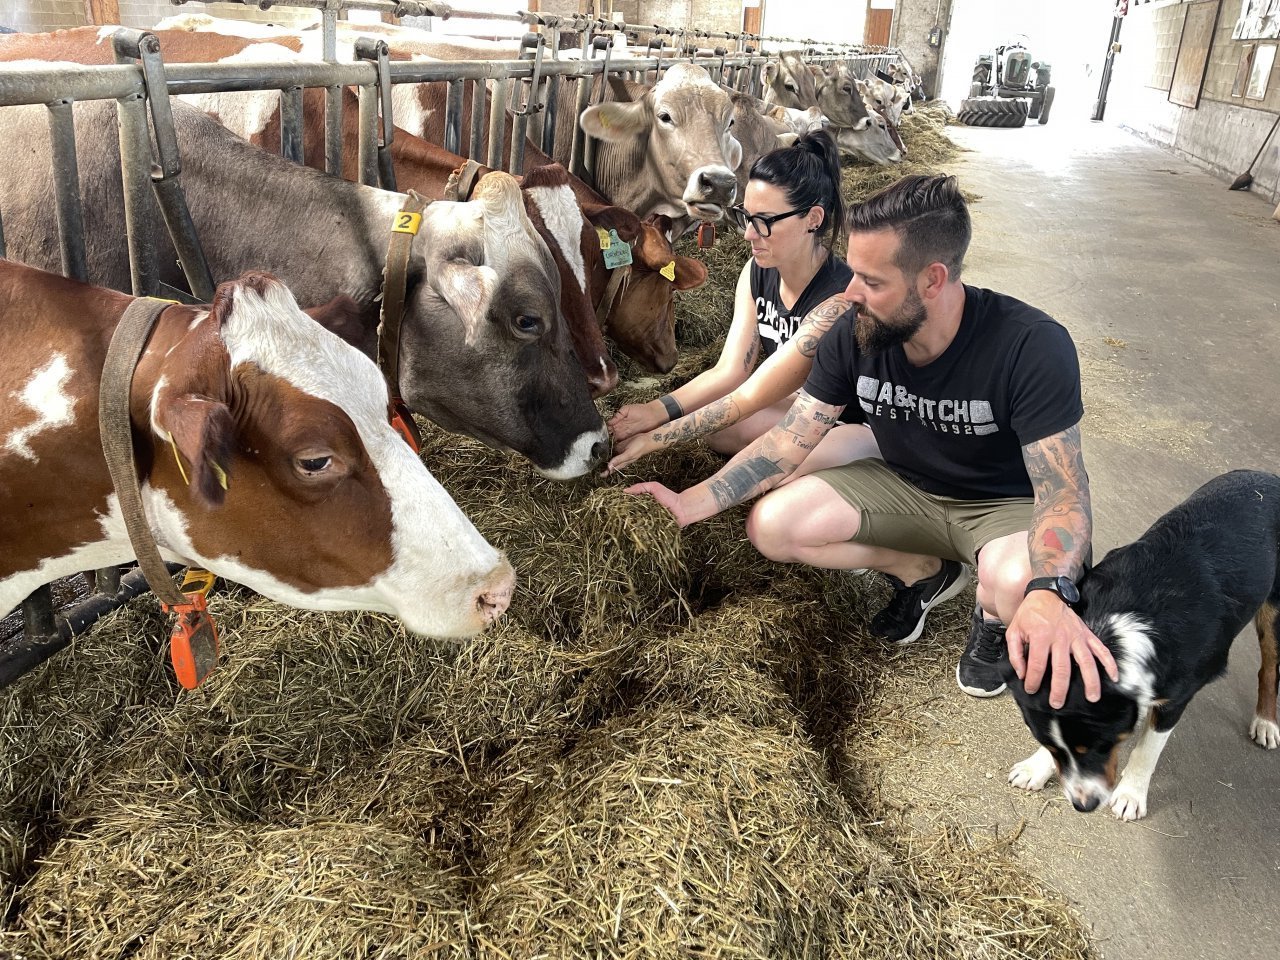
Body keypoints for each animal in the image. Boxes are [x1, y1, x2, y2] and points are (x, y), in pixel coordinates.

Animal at [998, 471, 1280, 824]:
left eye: (1101, 745)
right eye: (1051, 747)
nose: (1083, 805)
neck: (1114, 630)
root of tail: (1265, 476)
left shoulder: (1176, 698)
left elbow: (1148, 749)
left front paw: (1131, 795)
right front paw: (1037, 766)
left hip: (1274, 609)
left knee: (1269, 667)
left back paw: (1266, 722)